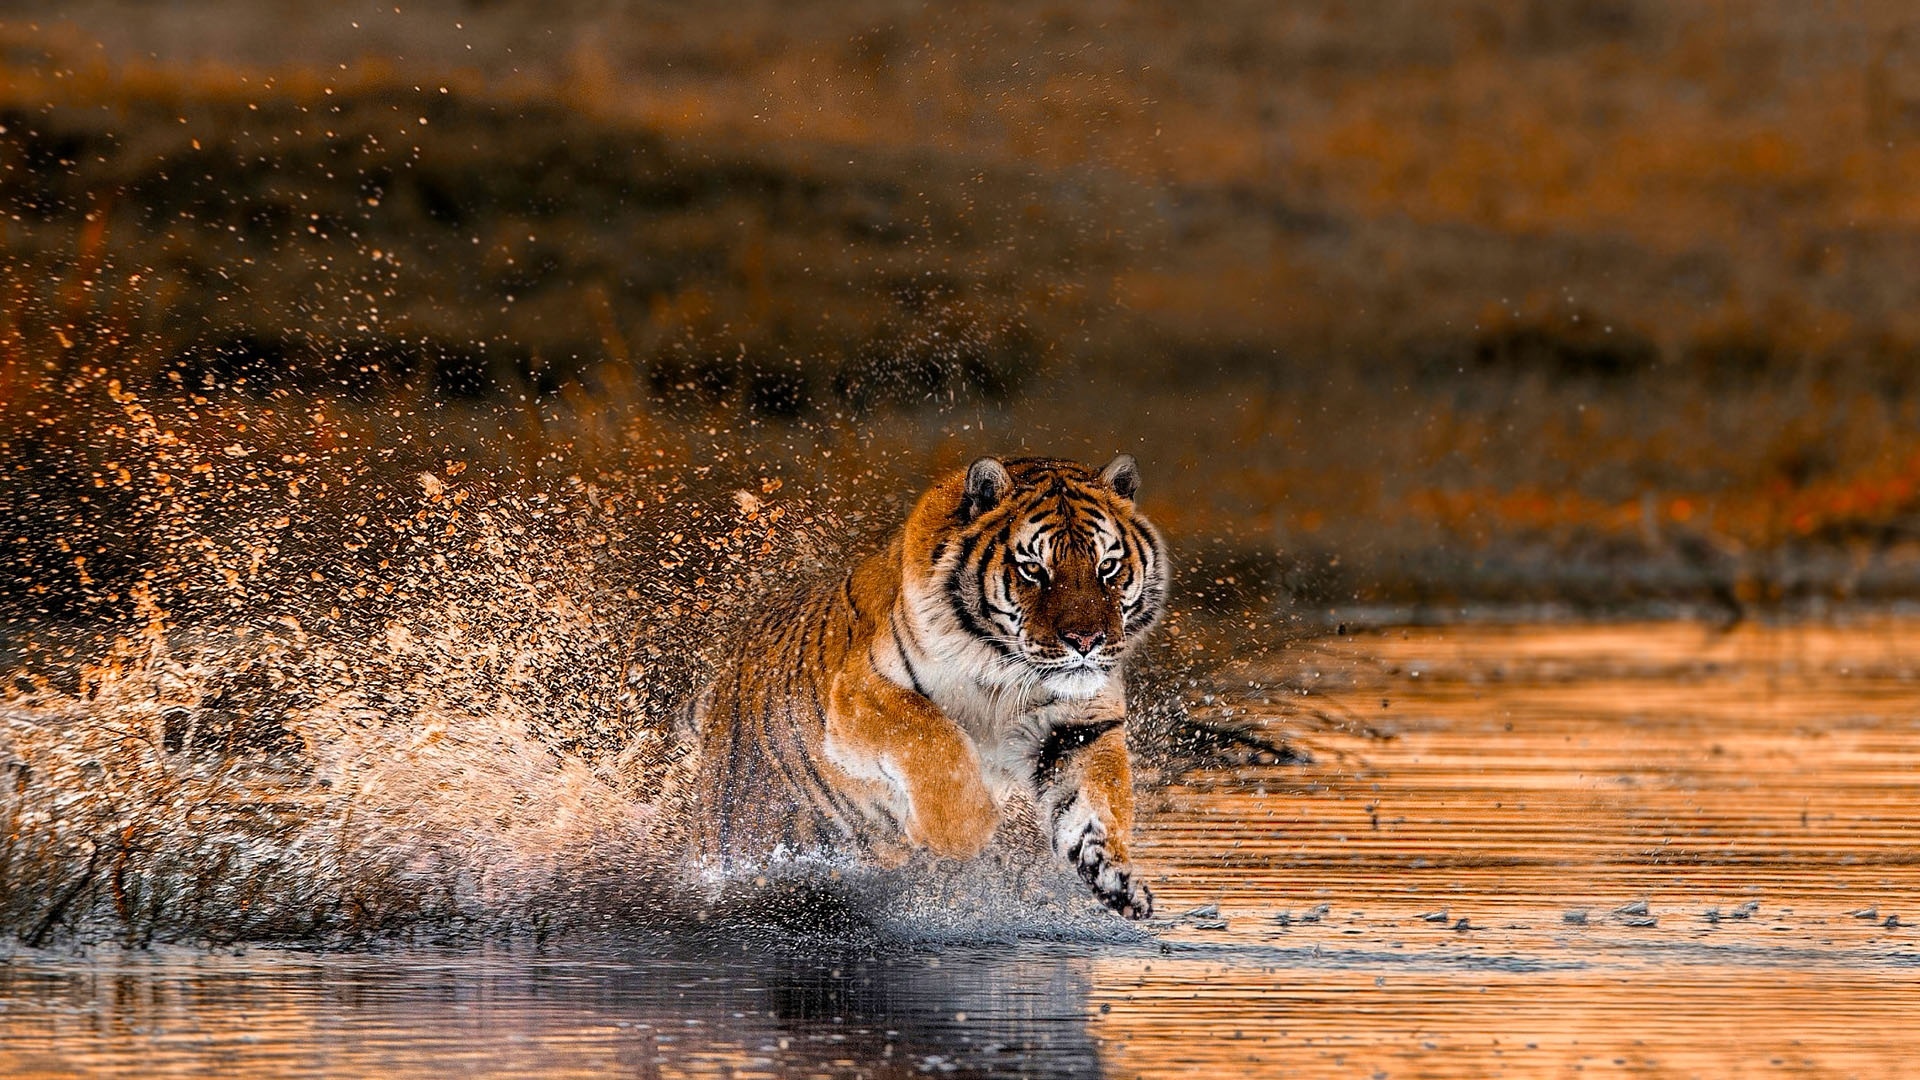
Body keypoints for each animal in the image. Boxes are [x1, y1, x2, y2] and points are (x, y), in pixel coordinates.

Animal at [675, 449, 1167, 910]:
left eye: (1107, 567)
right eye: (1033, 569)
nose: (1086, 640)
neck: (1005, 669)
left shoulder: (1079, 726)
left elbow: (1097, 799)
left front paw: (1116, 877)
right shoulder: (859, 692)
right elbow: (934, 736)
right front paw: (960, 832)